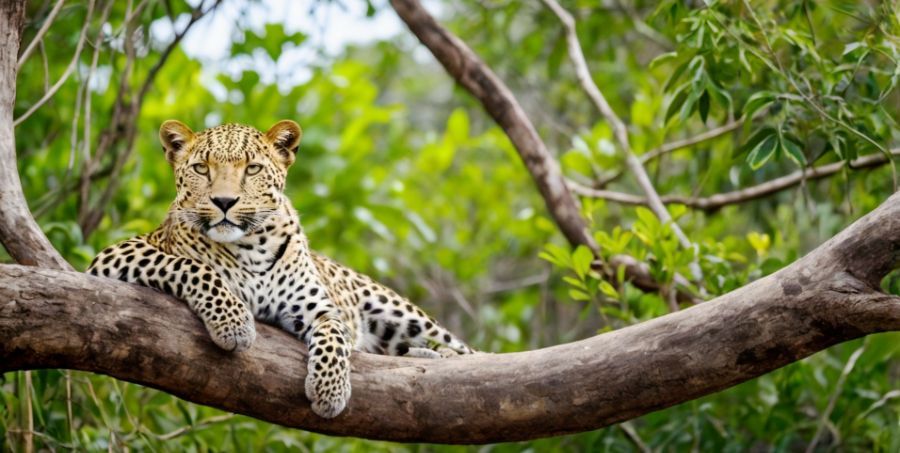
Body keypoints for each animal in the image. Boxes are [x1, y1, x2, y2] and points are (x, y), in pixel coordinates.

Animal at [86, 120, 472, 418]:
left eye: (252, 169)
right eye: (201, 169)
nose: (223, 201)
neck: (251, 247)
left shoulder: (320, 309)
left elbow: (334, 336)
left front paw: (330, 390)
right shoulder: (115, 255)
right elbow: (191, 266)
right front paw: (234, 323)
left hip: (401, 312)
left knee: (467, 353)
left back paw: (437, 355)